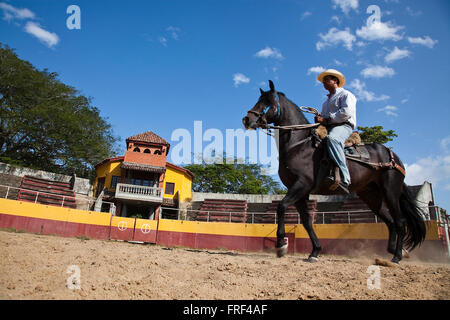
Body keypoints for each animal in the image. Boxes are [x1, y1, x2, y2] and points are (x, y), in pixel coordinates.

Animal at [243, 80, 426, 262]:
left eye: (268, 102)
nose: (247, 119)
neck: (299, 145)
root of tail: (392, 156)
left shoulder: (302, 184)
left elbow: (281, 207)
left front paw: (281, 244)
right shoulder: (300, 191)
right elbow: (306, 221)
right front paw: (315, 251)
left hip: (390, 192)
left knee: (400, 221)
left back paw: (397, 255)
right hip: (372, 196)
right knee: (390, 222)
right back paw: (395, 250)